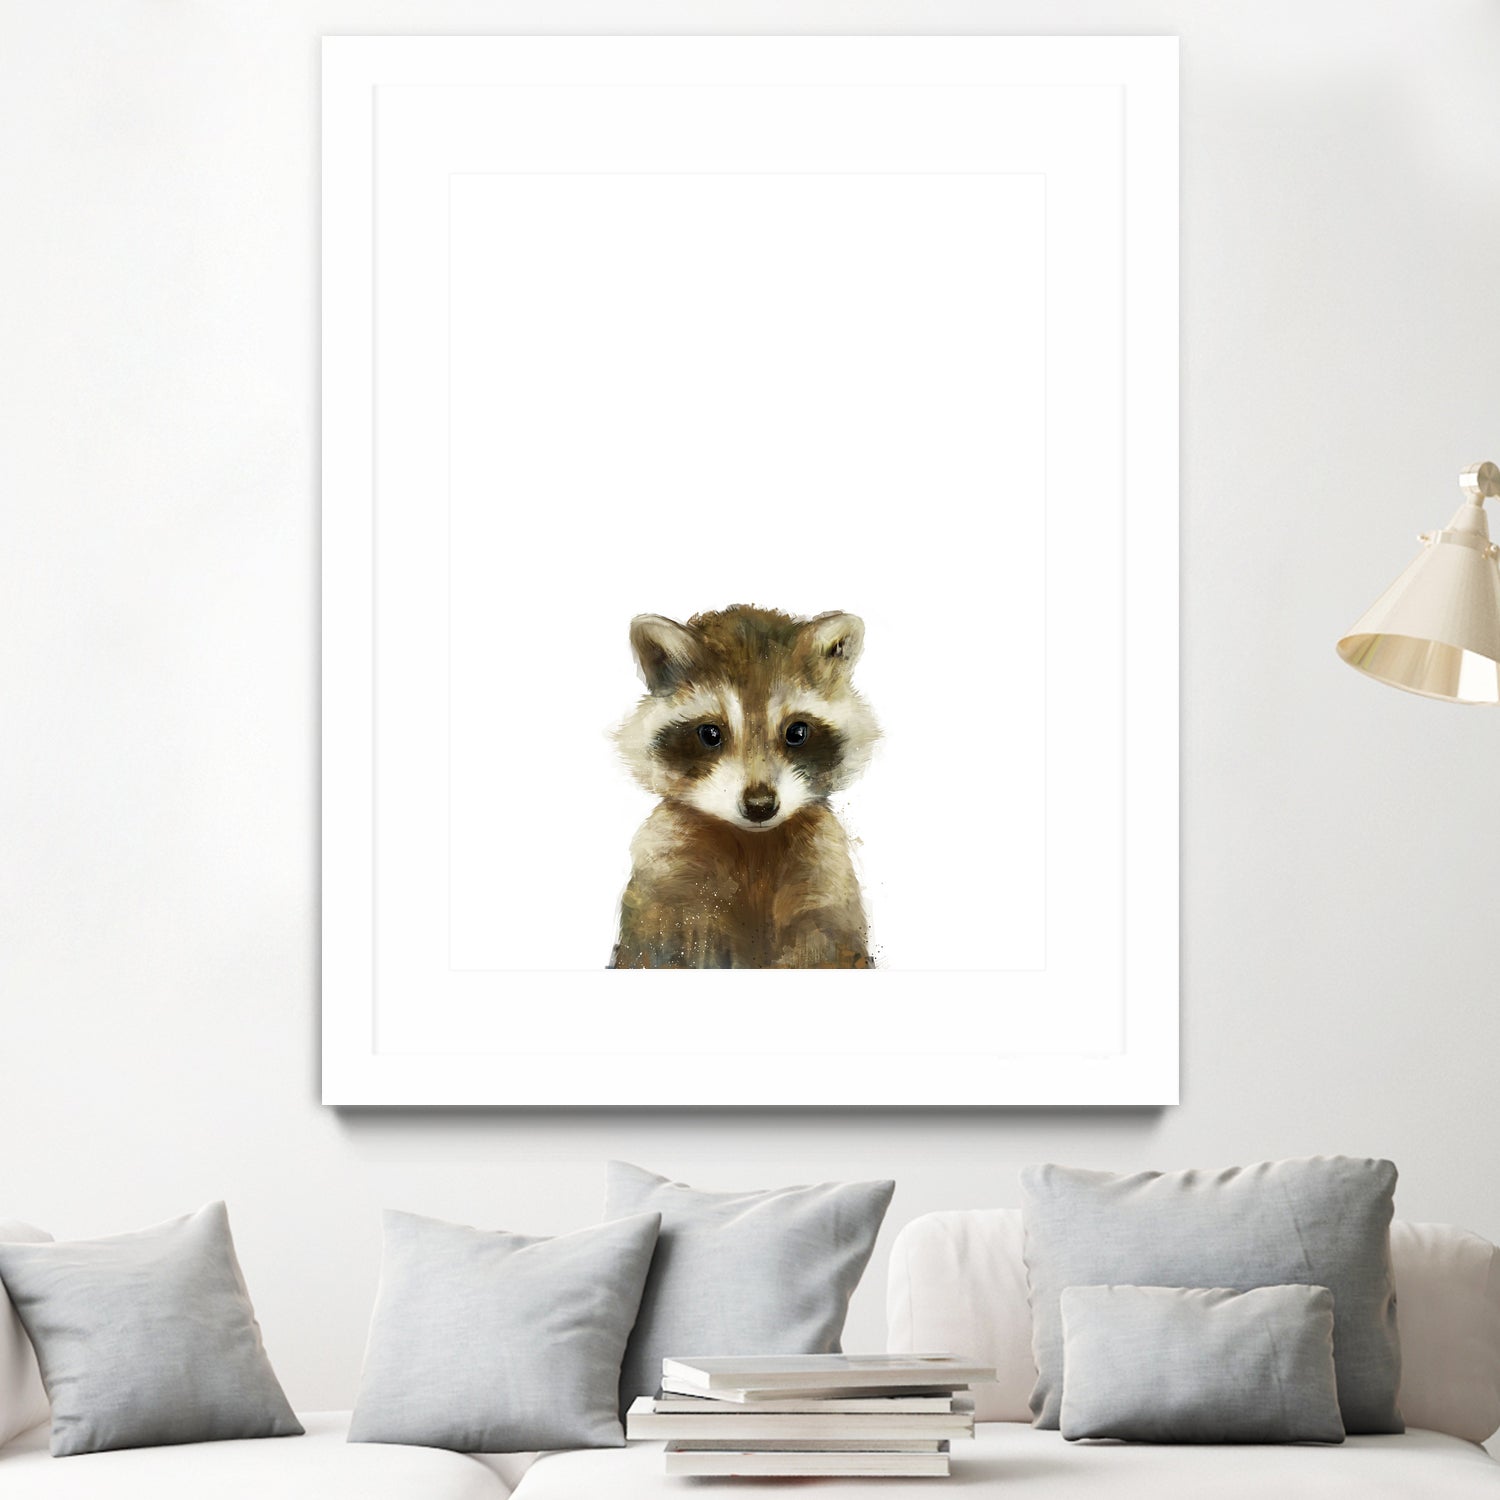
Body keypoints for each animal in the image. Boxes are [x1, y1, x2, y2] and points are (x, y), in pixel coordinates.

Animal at [611, 605, 879, 969]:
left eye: (796, 732)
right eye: (710, 733)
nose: (760, 805)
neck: (754, 844)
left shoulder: (825, 876)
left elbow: (829, 946)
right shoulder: (666, 879)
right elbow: (658, 947)